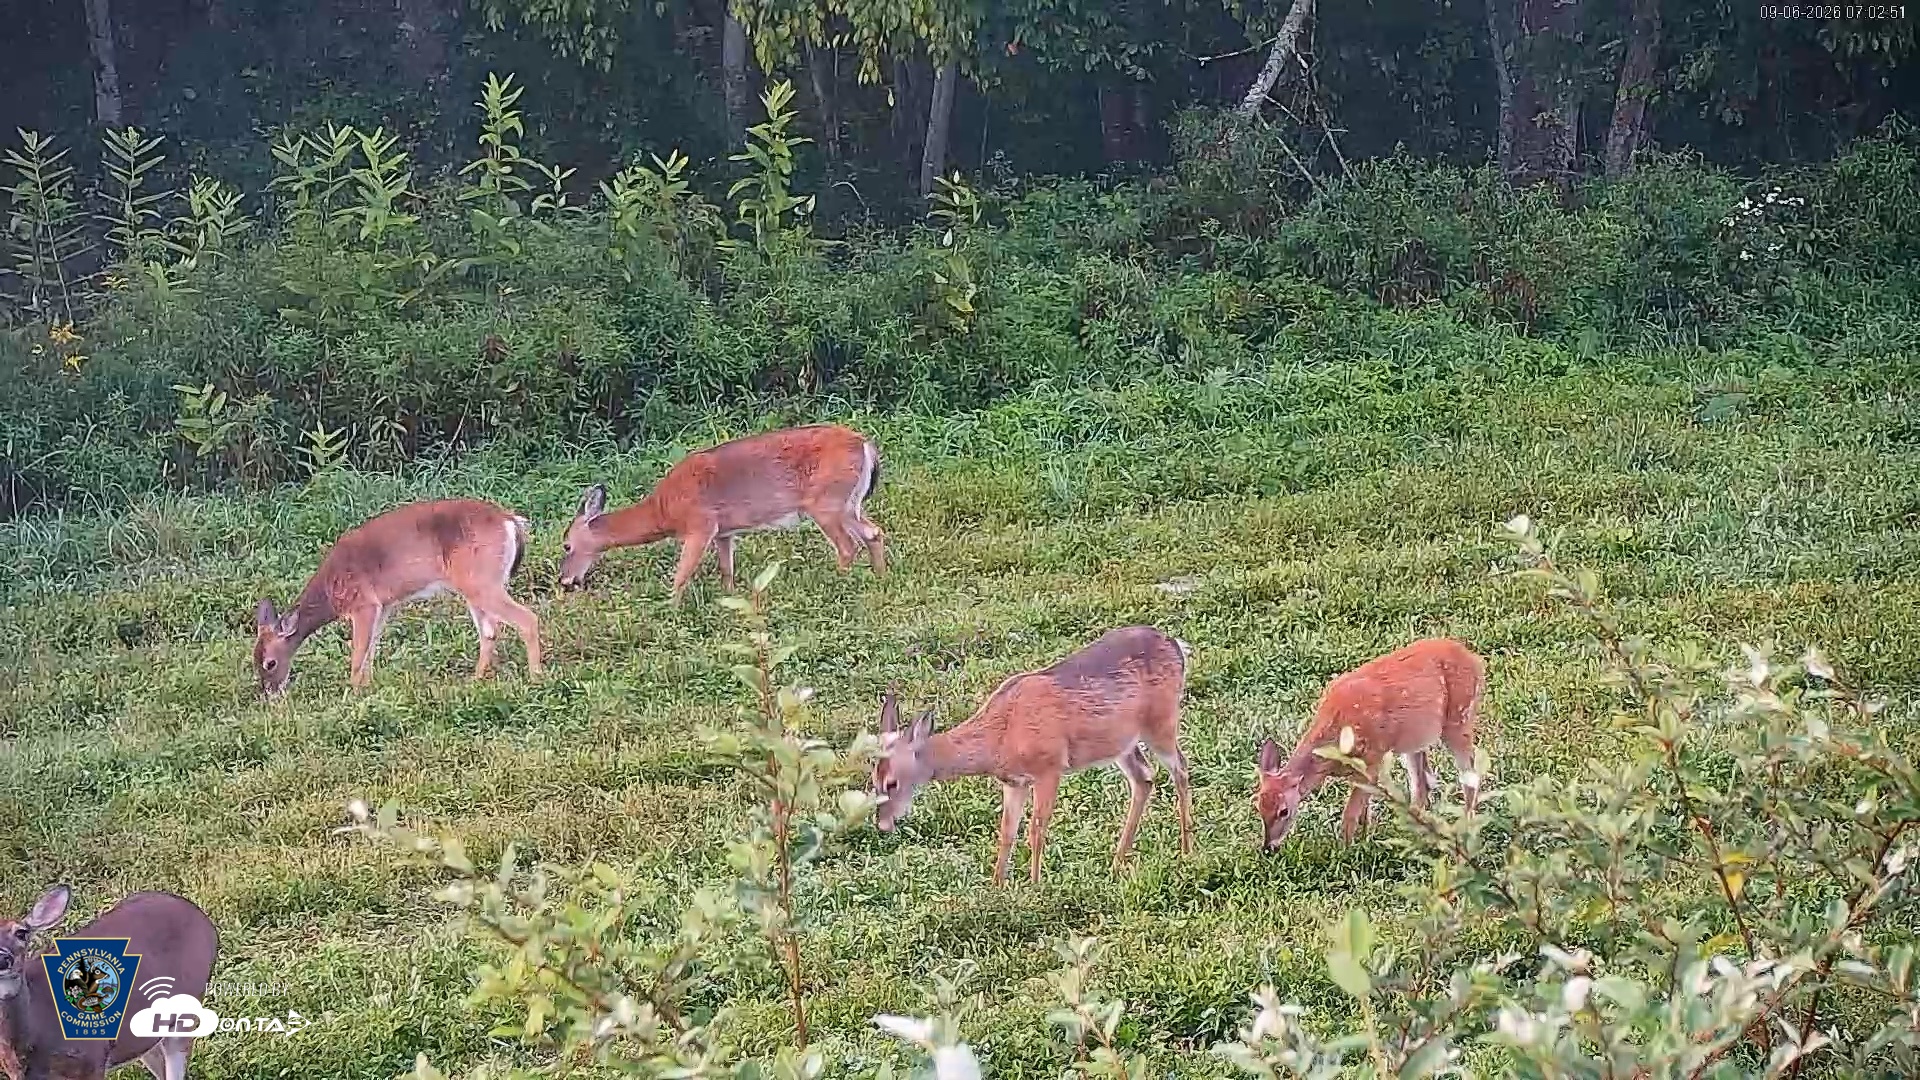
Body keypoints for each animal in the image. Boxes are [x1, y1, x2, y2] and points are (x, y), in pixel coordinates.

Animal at [252, 497, 543, 696]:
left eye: (270, 662)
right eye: (254, 660)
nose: (270, 693)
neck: (331, 591)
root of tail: (510, 521)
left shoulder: (364, 603)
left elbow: (358, 653)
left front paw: (353, 692)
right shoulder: (384, 606)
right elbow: (370, 650)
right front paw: (367, 688)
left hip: (481, 580)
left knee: (527, 619)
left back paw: (536, 677)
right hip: (477, 584)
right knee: (490, 631)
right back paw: (475, 680)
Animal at [557, 424, 886, 607]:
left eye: (566, 545)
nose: (565, 580)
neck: (664, 510)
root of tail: (865, 445)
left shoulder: (700, 525)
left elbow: (682, 574)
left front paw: (670, 609)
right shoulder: (724, 531)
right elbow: (726, 570)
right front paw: (730, 600)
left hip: (826, 502)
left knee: (847, 546)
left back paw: (837, 584)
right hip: (849, 502)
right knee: (874, 532)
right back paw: (880, 576)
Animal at [869, 625, 1196, 885]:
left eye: (892, 783)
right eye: (871, 781)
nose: (882, 824)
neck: (1000, 738)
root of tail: (1177, 646)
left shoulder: (1049, 767)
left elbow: (1036, 829)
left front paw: (1035, 885)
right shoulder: (1014, 782)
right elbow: (1007, 832)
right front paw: (997, 887)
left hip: (1161, 722)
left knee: (1180, 767)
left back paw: (1186, 850)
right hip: (1122, 743)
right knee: (1144, 778)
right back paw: (1117, 863)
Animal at [1254, 637, 1486, 851]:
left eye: (1284, 810)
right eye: (1258, 806)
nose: (1268, 847)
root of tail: (1476, 660)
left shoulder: (1373, 758)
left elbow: (1350, 813)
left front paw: (1345, 850)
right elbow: (1364, 808)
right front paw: (1365, 838)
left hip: (1459, 720)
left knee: (1470, 778)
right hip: (1415, 740)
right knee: (1422, 784)